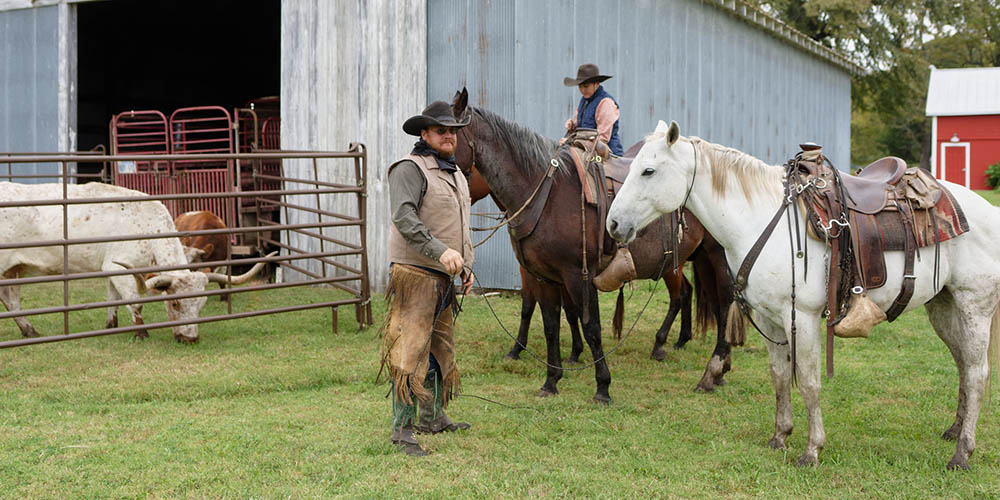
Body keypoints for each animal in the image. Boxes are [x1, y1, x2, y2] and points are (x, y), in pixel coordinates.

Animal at [0, 182, 270, 342]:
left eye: (201, 305)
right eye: (175, 304)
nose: (190, 338)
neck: (149, 227)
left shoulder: (111, 270)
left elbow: (114, 300)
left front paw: (112, 325)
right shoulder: (117, 267)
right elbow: (135, 302)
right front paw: (141, 332)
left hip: (15, 269)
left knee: (10, 298)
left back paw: (29, 330)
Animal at [454, 89, 736, 402]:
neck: (547, 193)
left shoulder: (578, 275)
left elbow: (590, 326)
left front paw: (602, 385)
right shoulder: (544, 276)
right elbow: (551, 324)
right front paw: (551, 380)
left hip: (718, 254)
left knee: (724, 299)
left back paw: (714, 366)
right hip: (684, 259)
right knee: (693, 296)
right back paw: (680, 347)